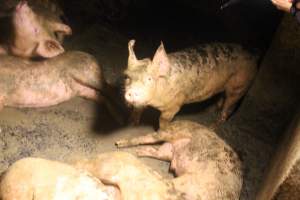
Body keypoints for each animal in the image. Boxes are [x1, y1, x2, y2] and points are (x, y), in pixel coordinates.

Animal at [124, 39, 258, 129]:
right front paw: (131, 124)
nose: (131, 92)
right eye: (127, 77)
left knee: (227, 109)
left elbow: (163, 120)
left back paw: (211, 127)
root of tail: (252, 56)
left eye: (149, 79)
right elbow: (138, 110)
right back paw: (211, 110)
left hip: (240, 86)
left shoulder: (175, 104)